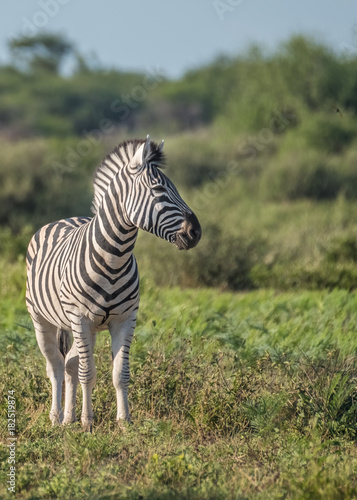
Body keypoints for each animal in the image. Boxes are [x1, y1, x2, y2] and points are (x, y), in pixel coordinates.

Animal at [25, 136, 200, 430]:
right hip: (43, 319)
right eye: (158, 189)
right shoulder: (81, 318)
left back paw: (68, 418)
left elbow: (120, 373)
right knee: (56, 366)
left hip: (87, 328)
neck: (114, 257)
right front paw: (88, 423)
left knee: (70, 363)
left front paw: (124, 421)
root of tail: (64, 219)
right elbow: (88, 372)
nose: (196, 232)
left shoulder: (125, 319)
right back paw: (56, 418)